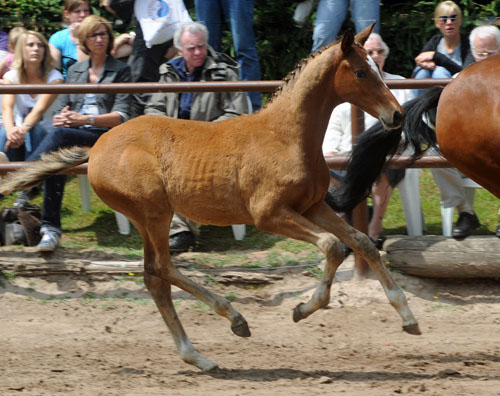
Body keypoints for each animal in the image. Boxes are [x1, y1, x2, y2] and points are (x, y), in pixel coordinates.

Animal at [0, 24, 422, 372]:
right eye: (361, 72)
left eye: (378, 67)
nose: (397, 116)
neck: (287, 135)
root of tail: (97, 146)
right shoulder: (270, 214)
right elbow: (334, 246)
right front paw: (302, 309)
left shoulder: (312, 206)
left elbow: (362, 242)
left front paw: (408, 317)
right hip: (154, 212)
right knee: (161, 270)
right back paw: (233, 320)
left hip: (149, 217)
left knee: (154, 277)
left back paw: (199, 356)